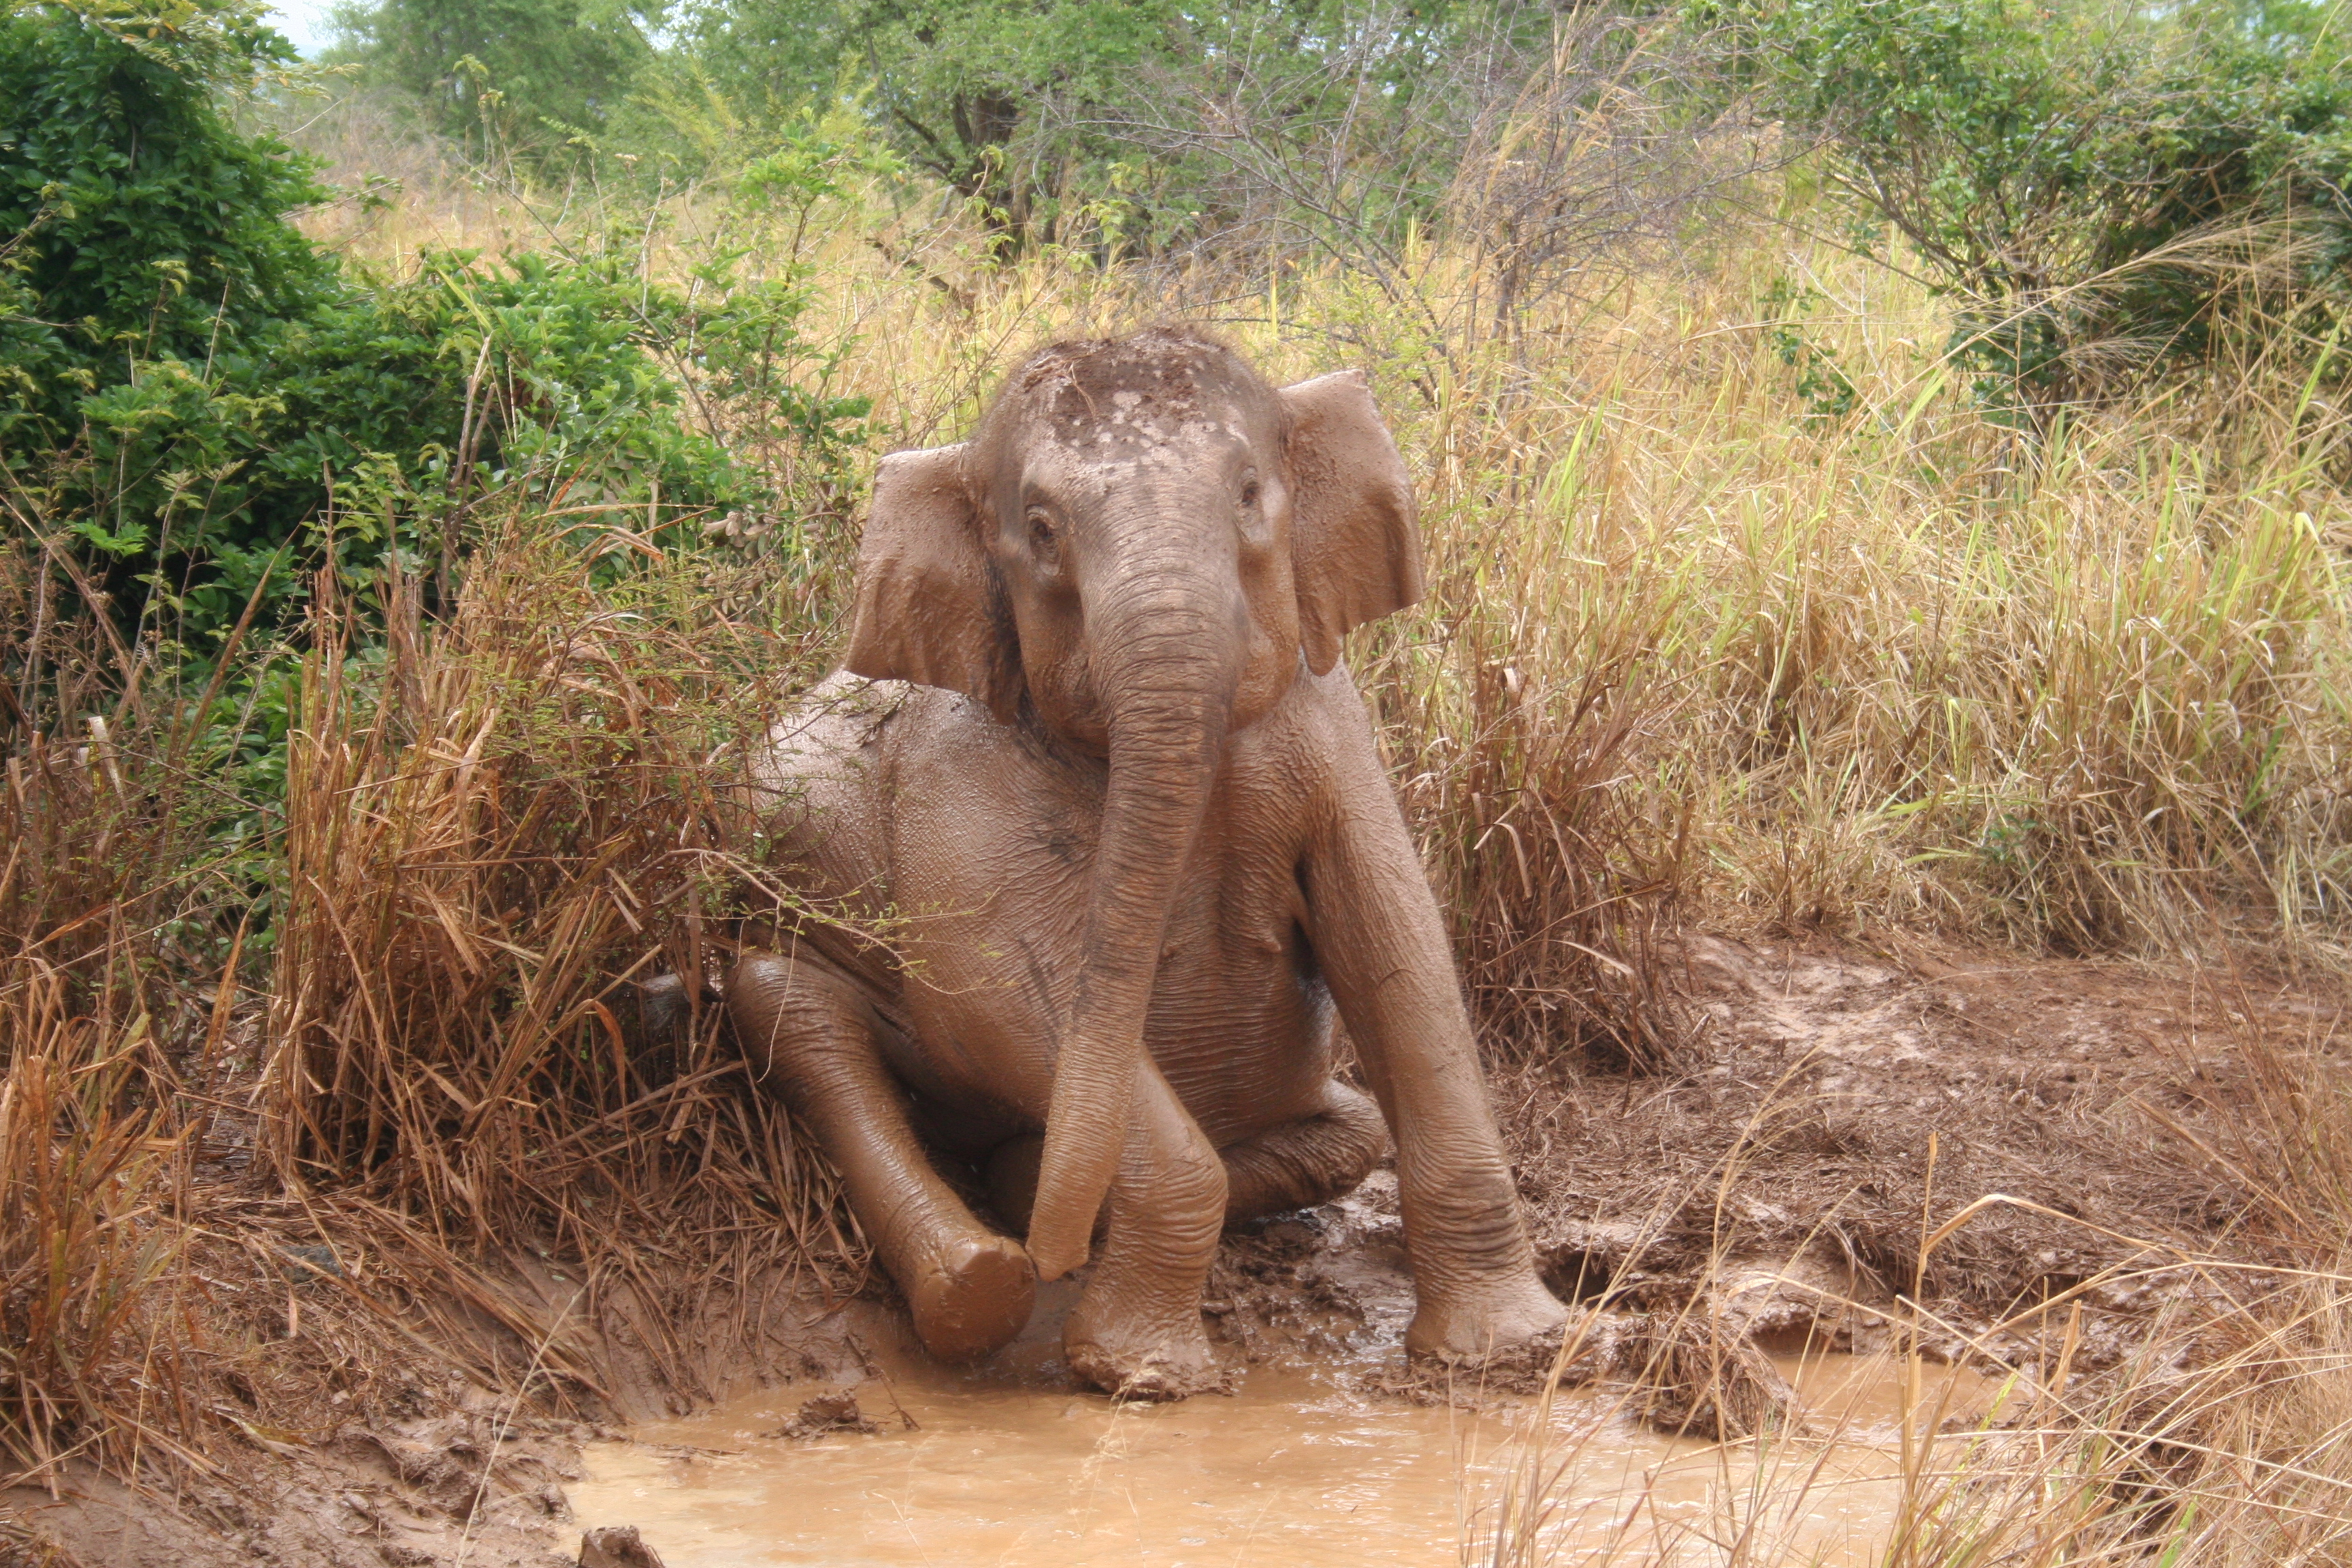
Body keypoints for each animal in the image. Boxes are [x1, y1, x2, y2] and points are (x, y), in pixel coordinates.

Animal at [723, 325, 1565, 1397]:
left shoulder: (1333, 723)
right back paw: (985, 1274)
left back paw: (1024, 1182)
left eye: (1249, 493)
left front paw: (1510, 1354)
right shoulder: (959, 774)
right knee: (789, 1008)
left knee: (1356, 1131)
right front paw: (1144, 1377)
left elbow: (1394, 937)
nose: (1054, 1258)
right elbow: (993, 990)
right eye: (1041, 530)